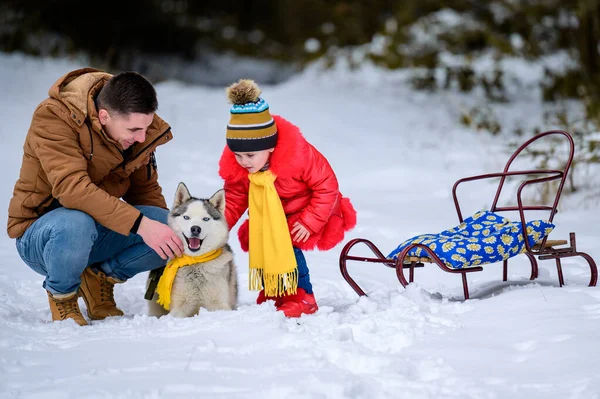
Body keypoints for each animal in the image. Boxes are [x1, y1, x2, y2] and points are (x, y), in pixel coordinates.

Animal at [146, 184, 238, 318]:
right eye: (186, 217)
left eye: (206, 219)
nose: (195, 229)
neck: (196, 261)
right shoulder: (180, 306)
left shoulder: (219, 304)